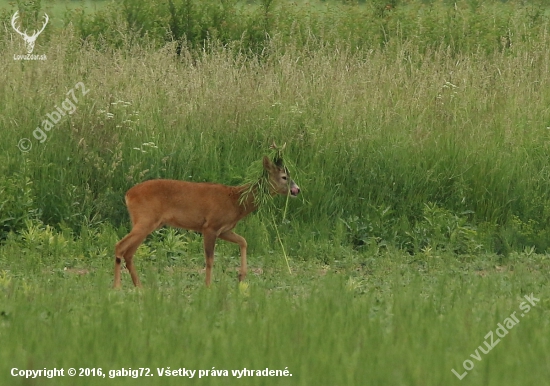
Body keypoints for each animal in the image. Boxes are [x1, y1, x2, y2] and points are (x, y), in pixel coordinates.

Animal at [113, 154, 302, 286]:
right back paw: (117, 287)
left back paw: (139, 286)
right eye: (284, 177)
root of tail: (128, 194)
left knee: (129, 252)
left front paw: (241, 276)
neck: (236, 202)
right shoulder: (210, 226)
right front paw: (208, 286)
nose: (297, 190)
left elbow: (243, 241)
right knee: (120, 246)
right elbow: (210, 260)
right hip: (145, 219)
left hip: (146, 222)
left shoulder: (224, 229)